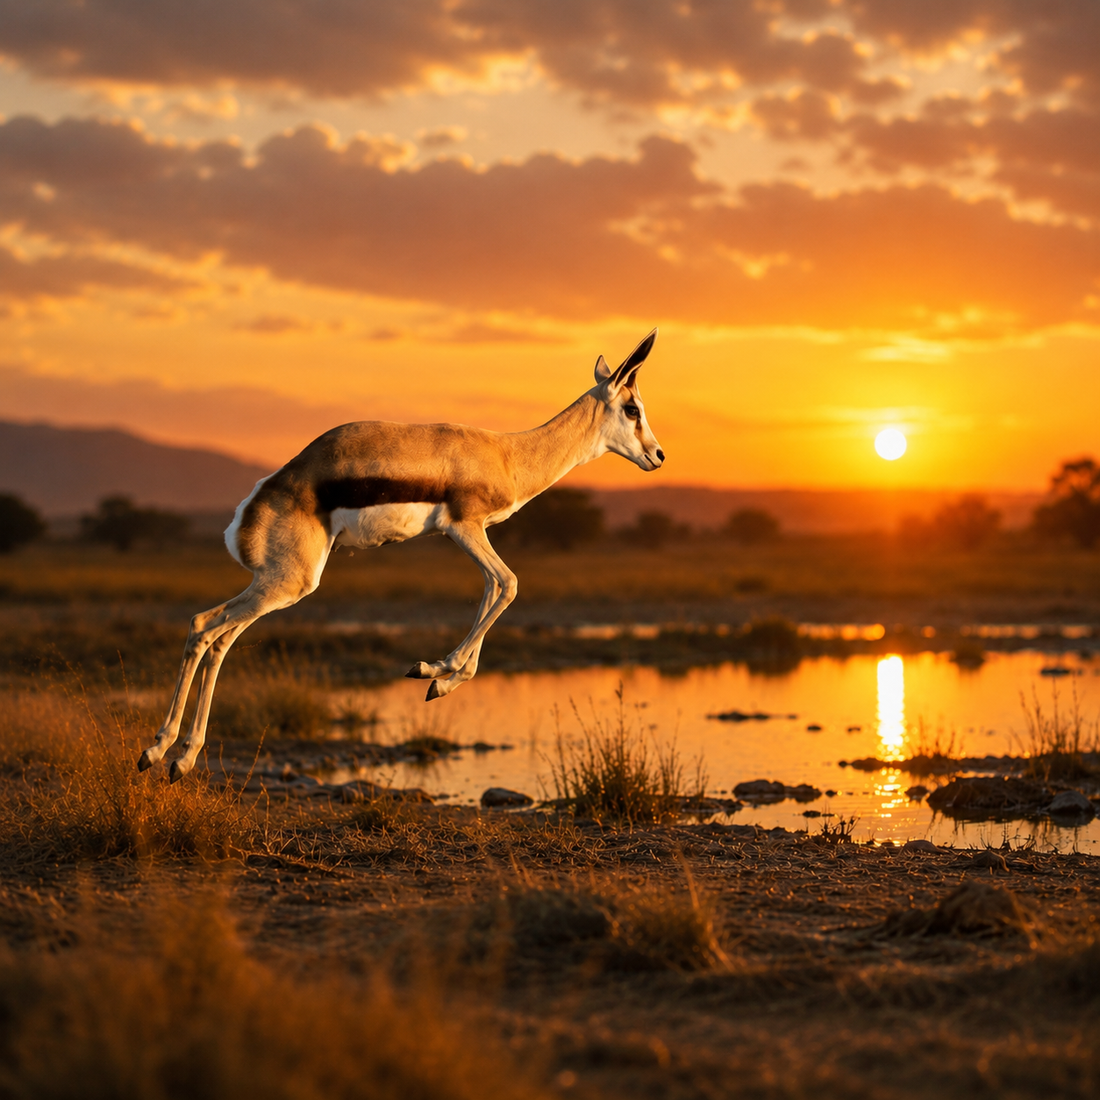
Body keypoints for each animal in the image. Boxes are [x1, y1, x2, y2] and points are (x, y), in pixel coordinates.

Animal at [137, 330, 664, 782]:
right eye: (632, 408)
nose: (658, 455)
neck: (509, 455)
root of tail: (257, 501)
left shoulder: (469, 536)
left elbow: (490, 592)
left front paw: (437, 678)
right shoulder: (464, 528)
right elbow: (509, 585)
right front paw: (434, 672)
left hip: (274, 586)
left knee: (217, 637)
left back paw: (173, 755)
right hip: (288, 584)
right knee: (205, 626)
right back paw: (165, 754)